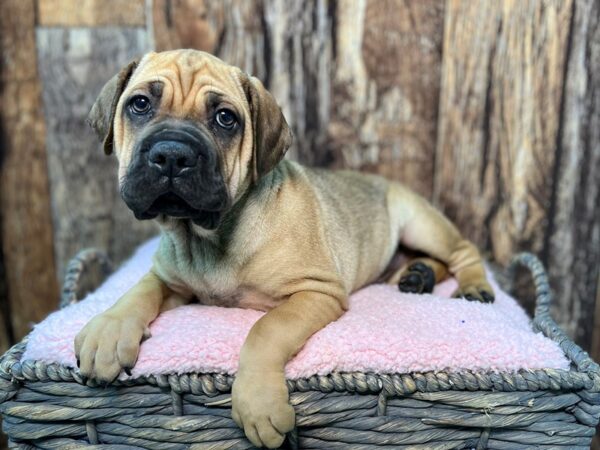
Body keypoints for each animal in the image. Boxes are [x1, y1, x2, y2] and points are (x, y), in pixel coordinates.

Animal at [75, 49, 494, 446]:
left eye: (225, 118)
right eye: (140, 104)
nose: (173, 154)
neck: (207, 236)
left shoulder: (316, 291)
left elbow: (266, 329)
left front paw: (258, 404)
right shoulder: (170, 279)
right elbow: (140, 291)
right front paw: (107, 332)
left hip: (421, 222)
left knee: (463, 252)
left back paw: (473, 286)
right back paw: (418, 275)